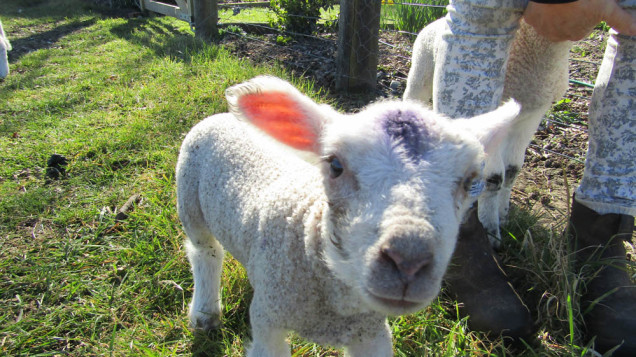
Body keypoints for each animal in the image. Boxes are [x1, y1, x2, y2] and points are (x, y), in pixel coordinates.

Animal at [176, 76, 520, 356]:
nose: (408, 262)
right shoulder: (266, 322)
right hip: (189, 196)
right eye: (336, 165)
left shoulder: (371, 334)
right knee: (205, 252)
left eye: (470, 181)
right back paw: (205, 313)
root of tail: (223, 116)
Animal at [404, 18, 572, 248]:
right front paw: (491, 233)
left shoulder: (531, 116)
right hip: (421, 70)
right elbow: (494, 178)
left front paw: (504, 216)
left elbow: (512, 169)